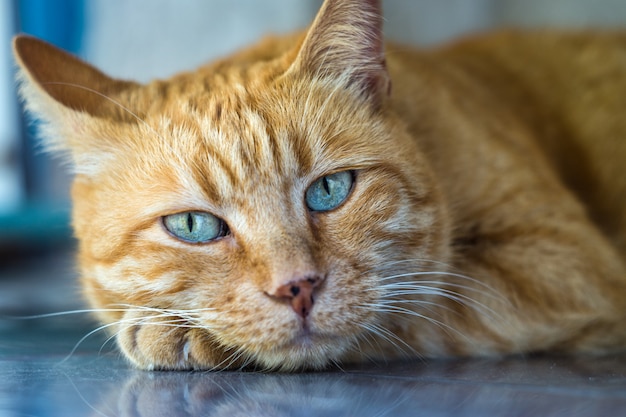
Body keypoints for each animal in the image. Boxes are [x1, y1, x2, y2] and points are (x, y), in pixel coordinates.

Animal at [12, 0, 620, 370]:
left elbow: (409, 312)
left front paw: (183, 335)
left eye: (329, 190)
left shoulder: (561, 262)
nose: (297, 287)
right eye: (193, 225)